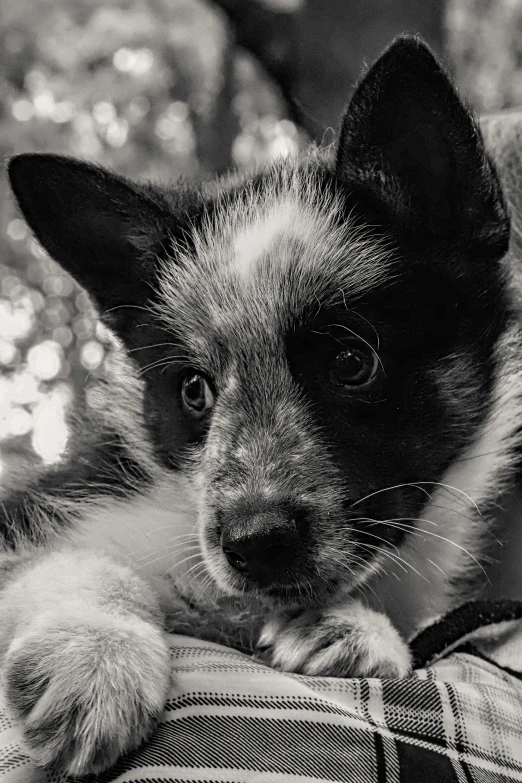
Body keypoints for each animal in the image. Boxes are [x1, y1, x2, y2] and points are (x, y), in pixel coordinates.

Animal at [4, 36, 520, 776]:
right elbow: (73, 557)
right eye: (194, 390)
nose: (255, 544)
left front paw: (355, 627)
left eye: (352, 362)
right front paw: (93, 655)